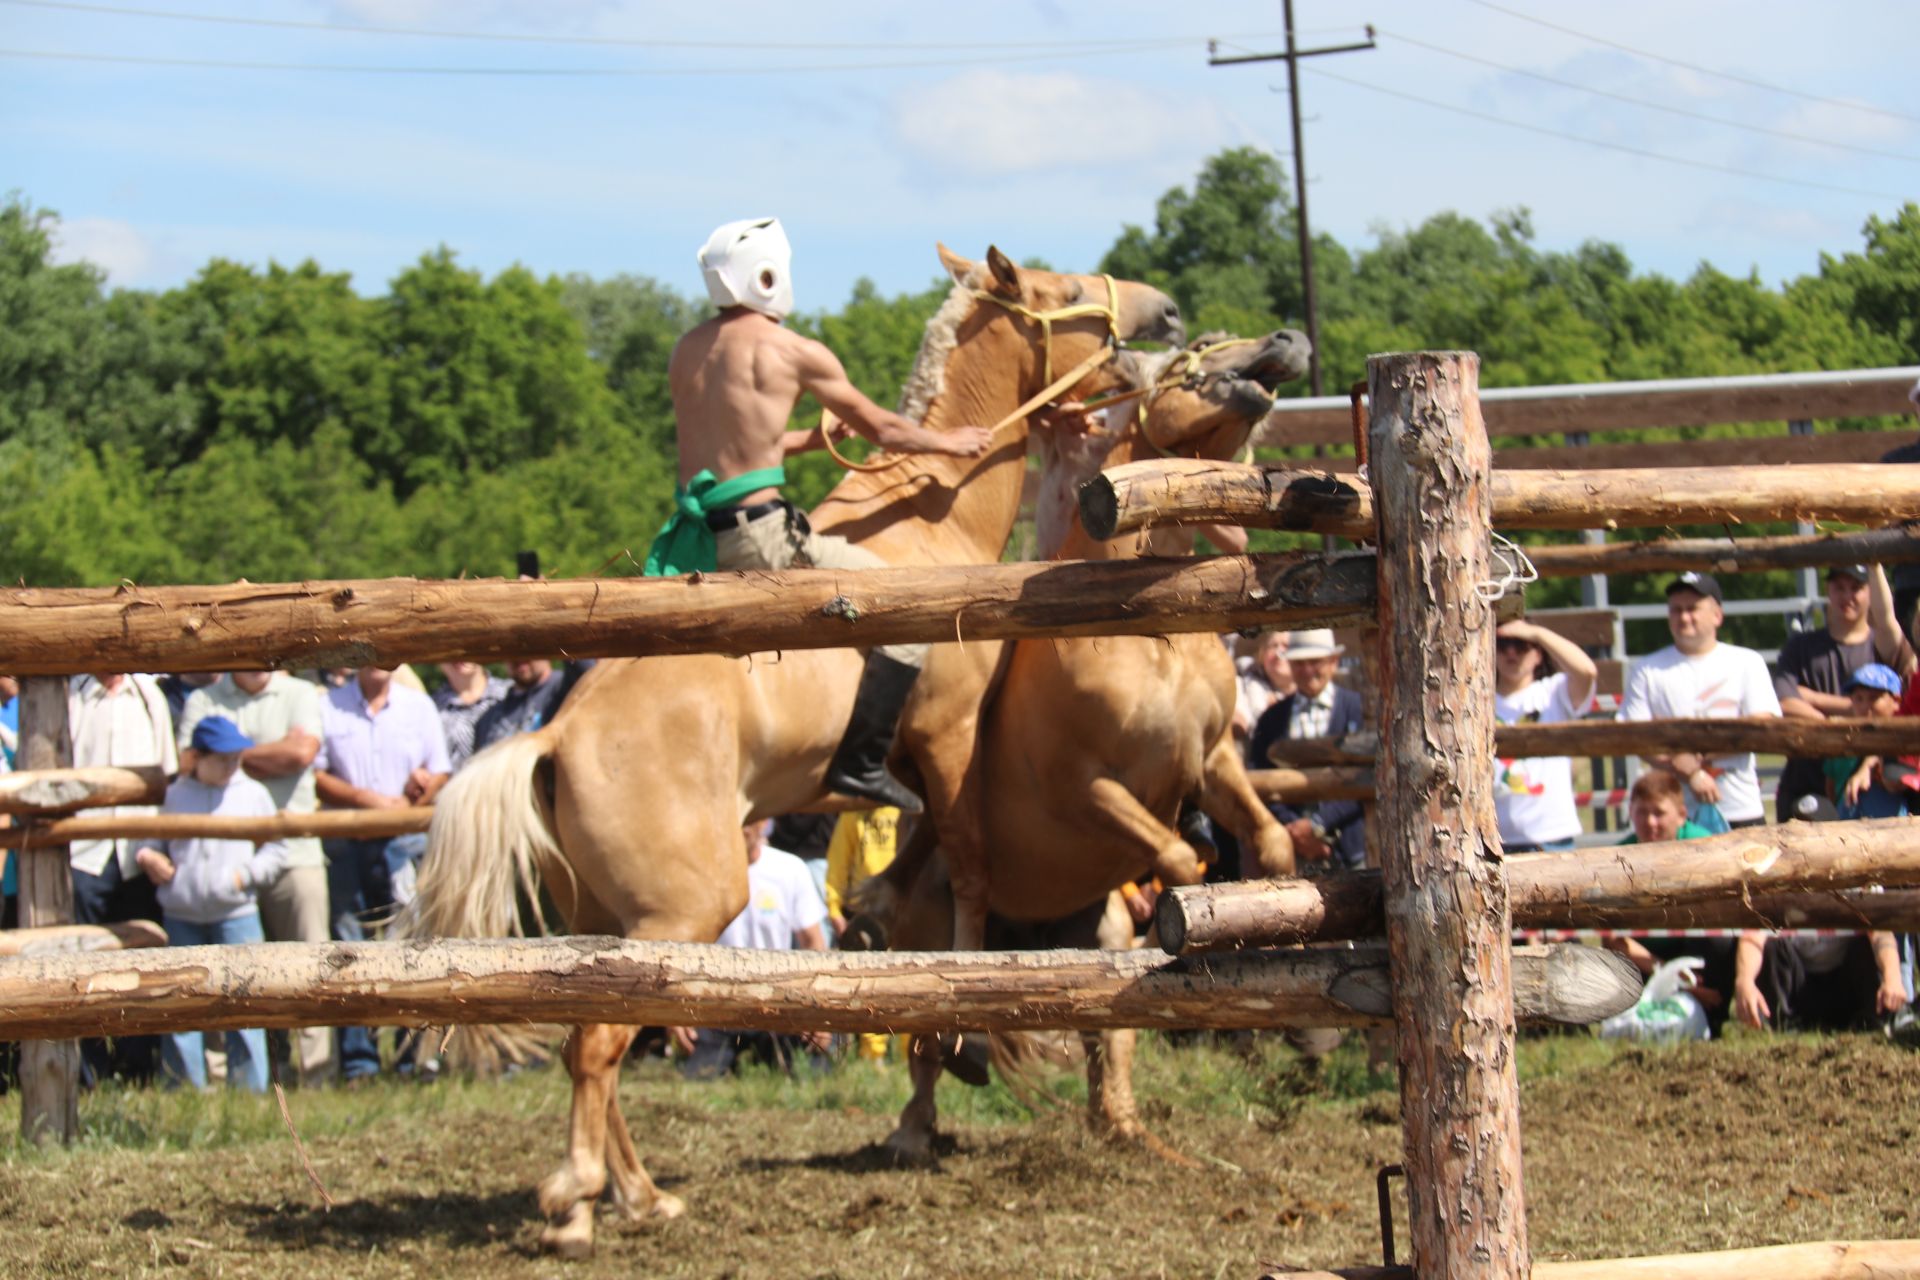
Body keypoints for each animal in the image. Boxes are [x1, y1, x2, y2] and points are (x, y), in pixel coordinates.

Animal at [408, 242, 1182, 1258]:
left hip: (607, 922)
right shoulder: (947, 739)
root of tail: (557, 732)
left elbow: (919, 879)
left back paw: (640, 1195)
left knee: (596, 1041)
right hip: (686, 908)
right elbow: (971, 875)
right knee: (599, 1046)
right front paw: (969, 1035)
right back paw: (578, 1199)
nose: (1166, 311)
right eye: (1066, 292)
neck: (927, 525)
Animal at [864, 328, 1313, 1159]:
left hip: (1093, 926)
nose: (1286, 339)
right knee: (925, 1041)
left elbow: (1269, 842)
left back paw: (1126, 1127)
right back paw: (915, 1128)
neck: (1152, 628)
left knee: (1108, 1032)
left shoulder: (1214, 762)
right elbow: (1179, 859)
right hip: (933, 935)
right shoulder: (1088, 789)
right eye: (1204, 345)